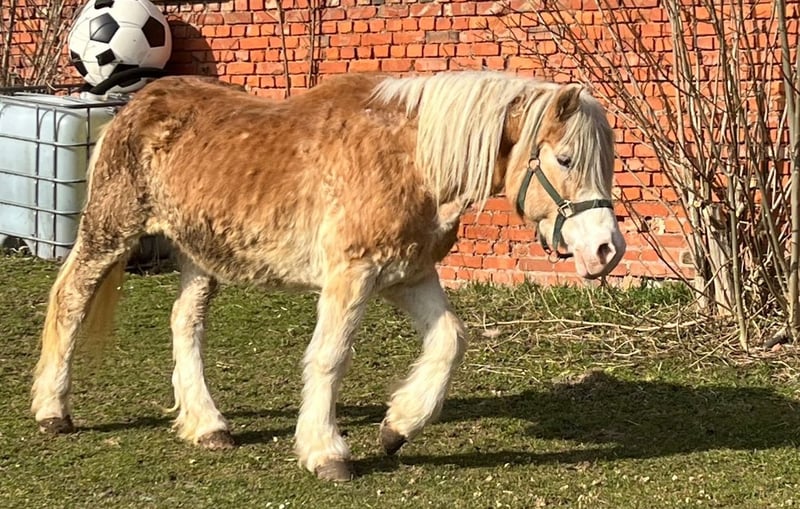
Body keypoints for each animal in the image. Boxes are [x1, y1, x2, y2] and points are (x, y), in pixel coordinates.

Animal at [30, 71, 625, 481]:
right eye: (565, 159)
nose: (606, 249)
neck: (410, 160)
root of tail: (135, 106)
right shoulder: (352, 275)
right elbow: (330, 357)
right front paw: (325, 452)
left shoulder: (408, 275)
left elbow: (450, 341)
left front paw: (397, 427)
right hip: (112, 230)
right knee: (70, 299)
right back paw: (52, 410)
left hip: (200, 253)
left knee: (185, 324)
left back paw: (207, 425)